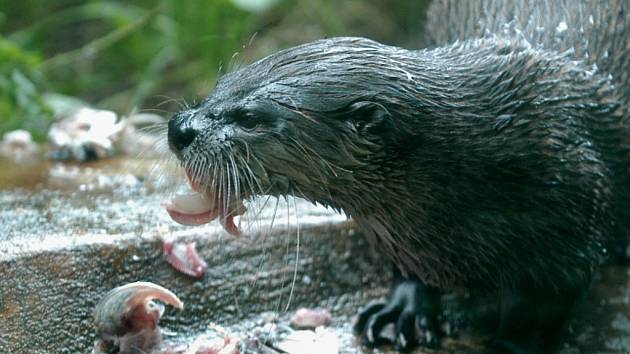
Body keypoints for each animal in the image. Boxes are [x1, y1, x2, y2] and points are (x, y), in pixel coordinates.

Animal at [165, 1, 628, 352]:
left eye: (250, 118)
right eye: (220, 85)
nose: (179, 128)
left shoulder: (571, 215)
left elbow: (534, 315)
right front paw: (404, 309)